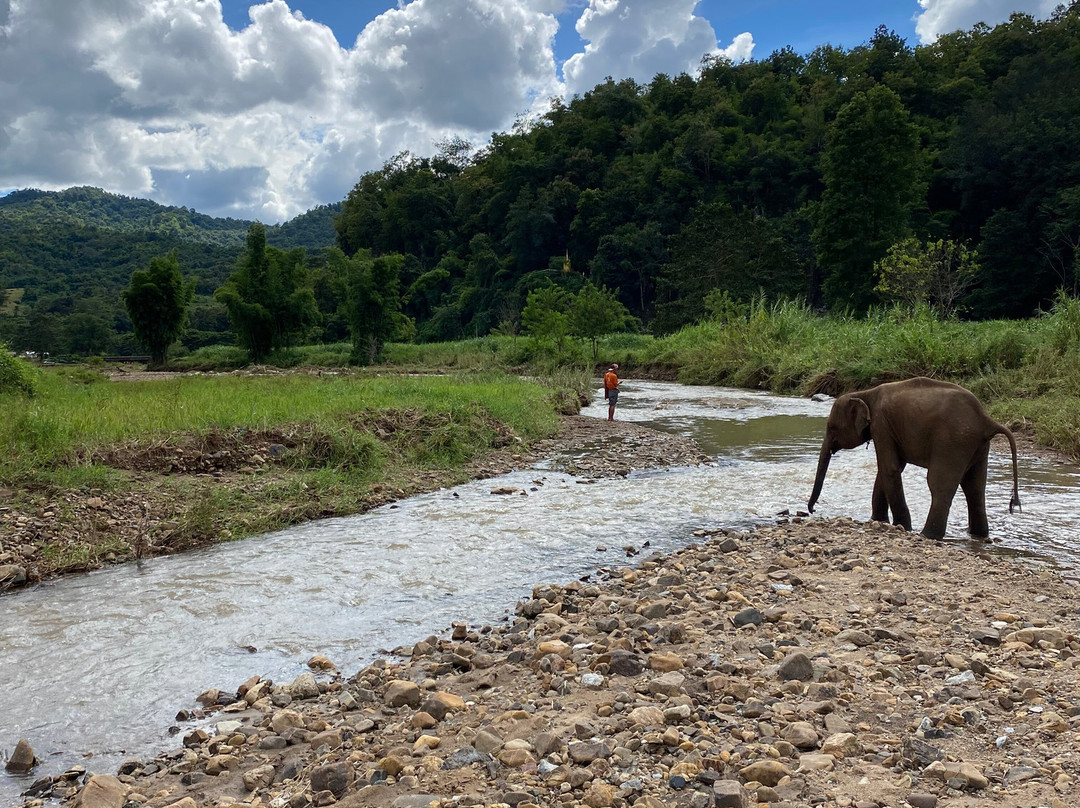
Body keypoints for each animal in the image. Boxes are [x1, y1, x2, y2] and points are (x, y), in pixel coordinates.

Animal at [812, 375, 1019, 540]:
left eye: (831, 428)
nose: (812, 510)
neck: (865, 393)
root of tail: (986, 420)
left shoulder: (881, 425)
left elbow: (890, 468)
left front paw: (901, 527)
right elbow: (889, 468)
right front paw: (878, 521)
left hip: (953, 441)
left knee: (939, 484)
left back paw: (927, 535)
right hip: (978, 446)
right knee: (975, 487)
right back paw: (978, 535)